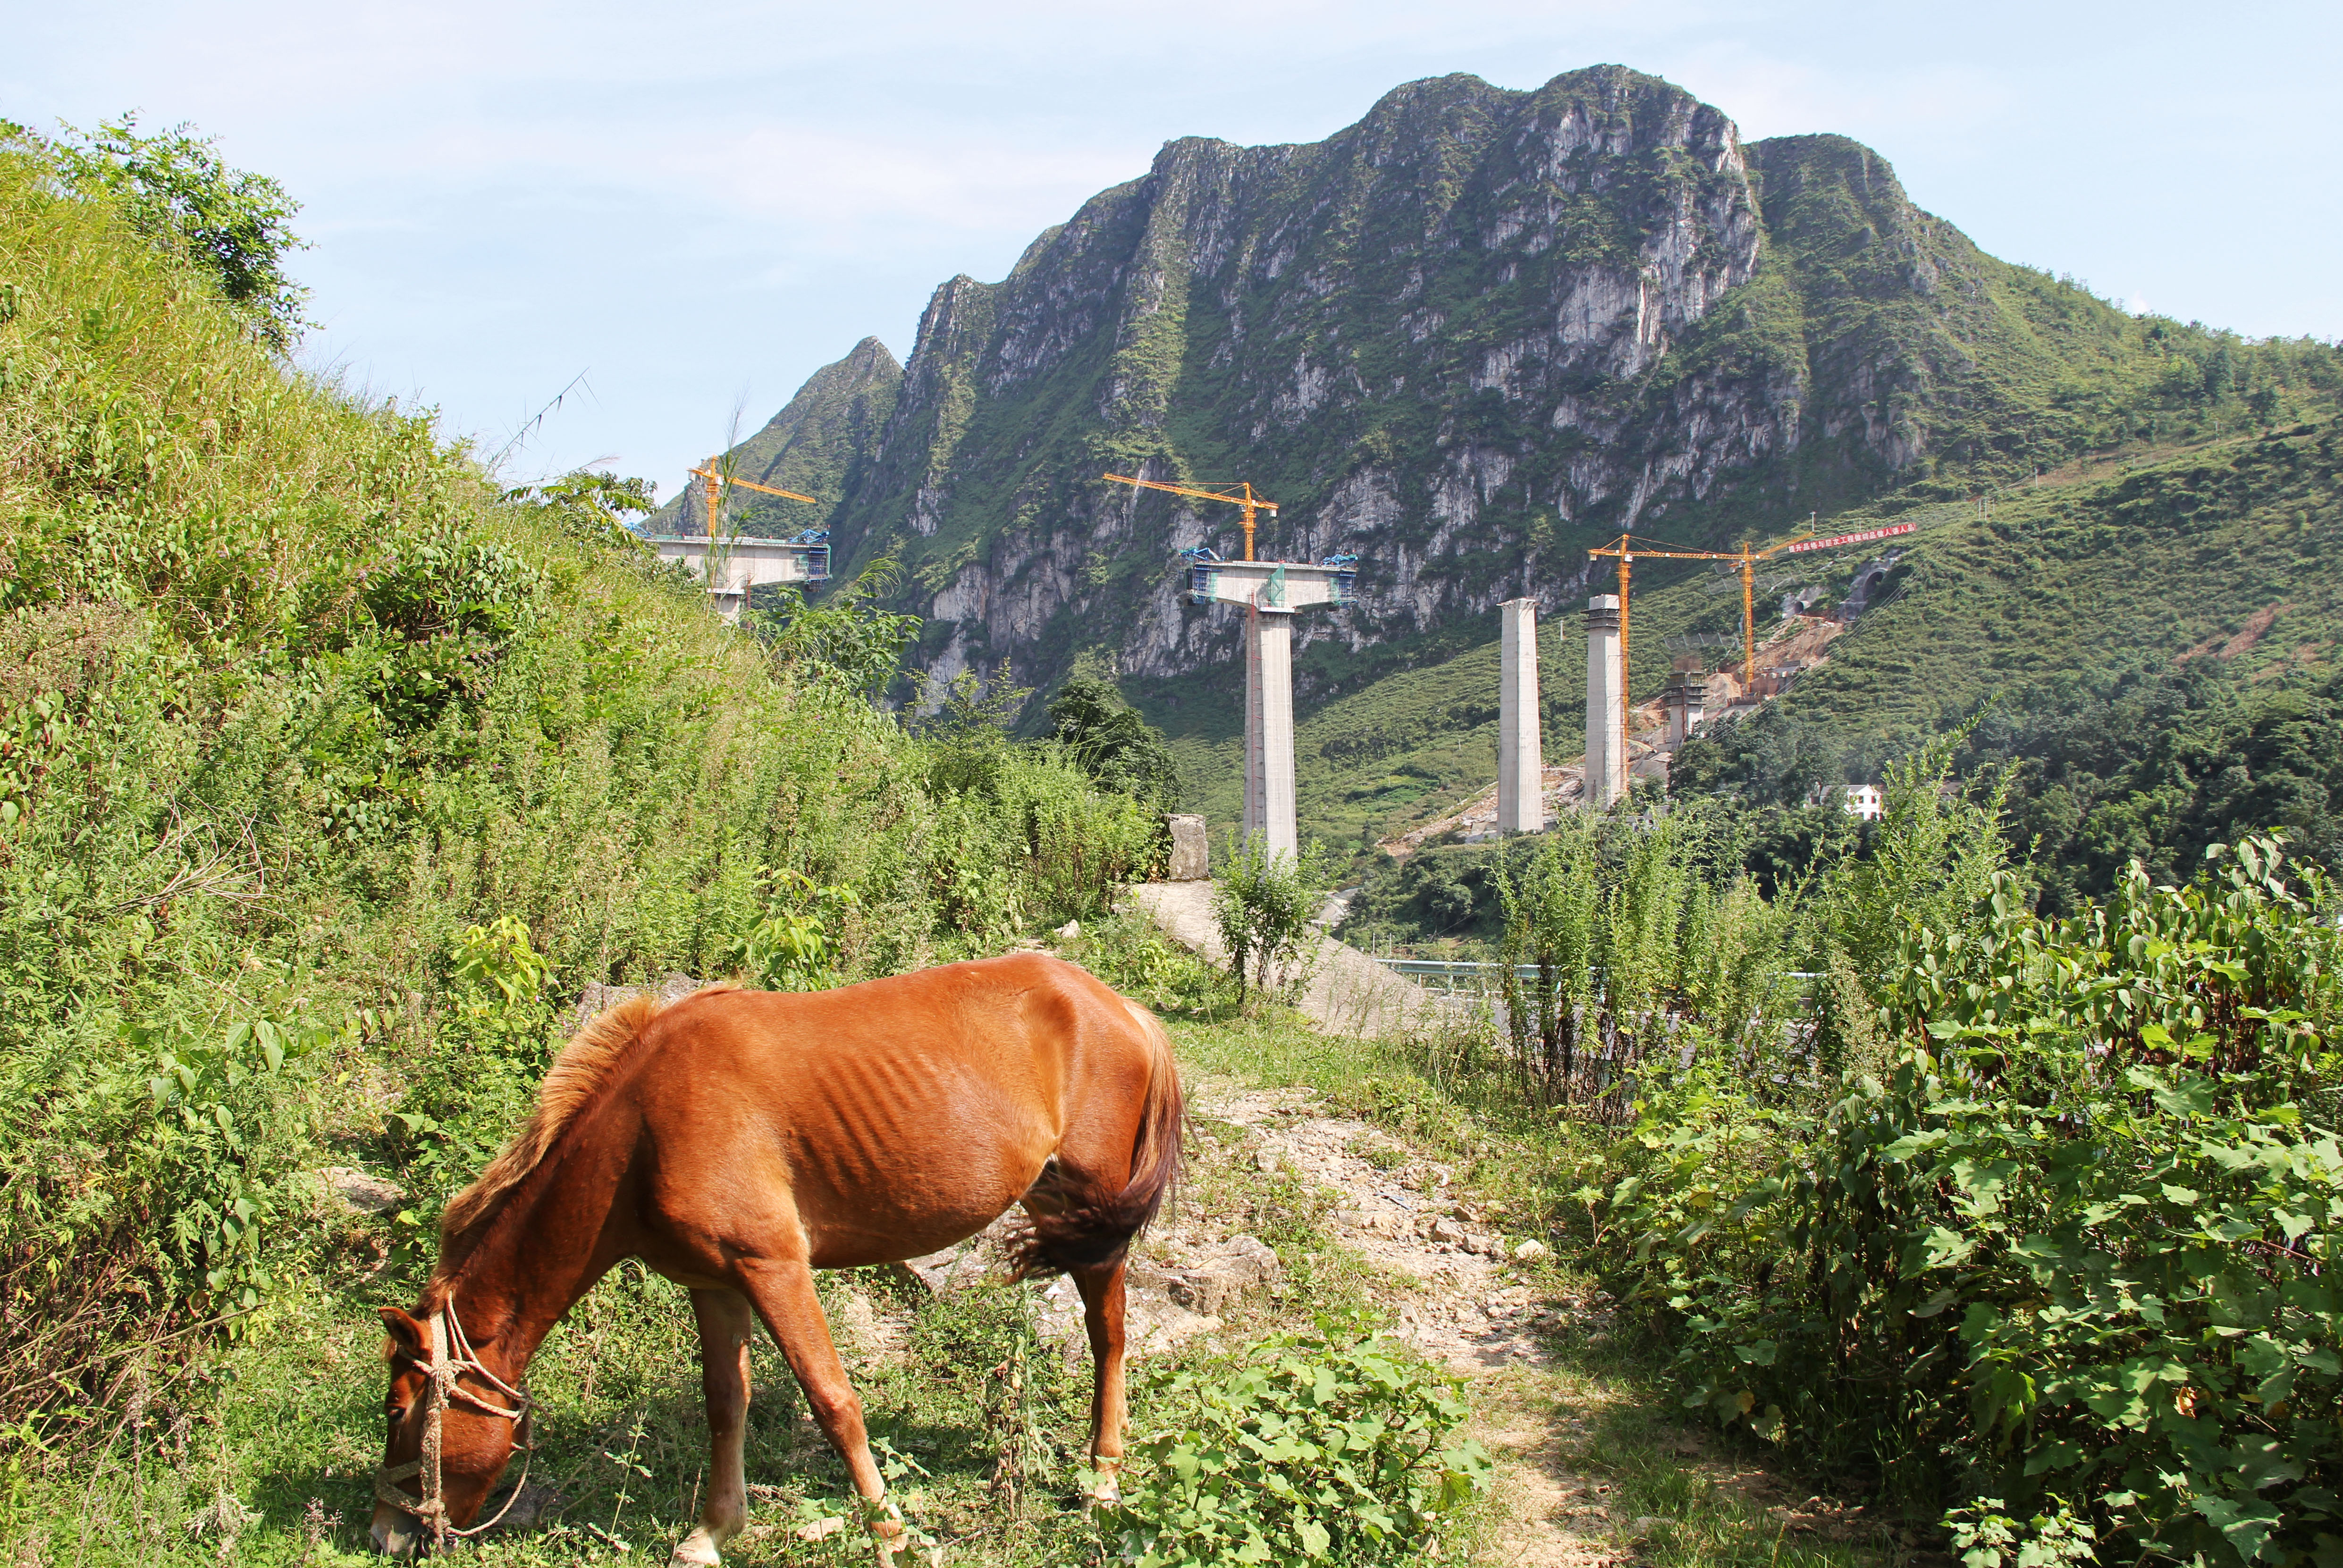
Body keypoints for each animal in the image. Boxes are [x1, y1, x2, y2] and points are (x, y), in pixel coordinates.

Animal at [375, 947, 1190, 1556]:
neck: (645, 1129)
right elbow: (724, 1403)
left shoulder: (774, 1266)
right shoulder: (713, 1282)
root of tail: (1121, 1006)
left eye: (399, 1408)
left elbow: (834, 1399)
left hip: (1091, 1215)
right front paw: (712, 1531)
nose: (386, 1531)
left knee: (1109, 1336)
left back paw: (1103, 1476)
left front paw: (889, 1531)